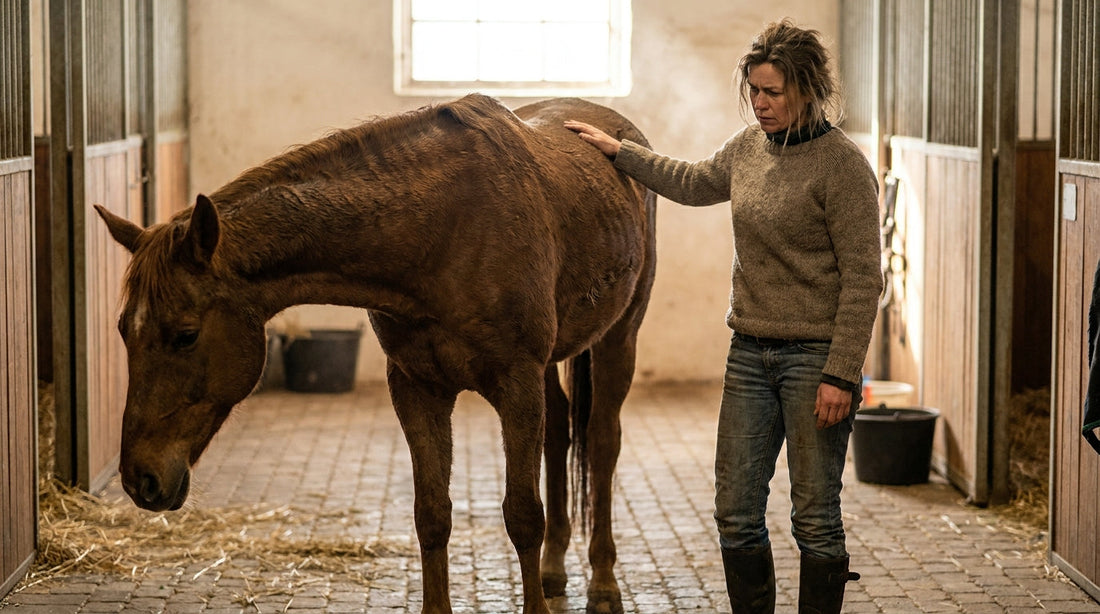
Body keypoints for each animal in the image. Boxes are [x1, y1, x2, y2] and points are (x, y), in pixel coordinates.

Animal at [95, 94, 656, 614]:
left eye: (185, 334)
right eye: (123, 330)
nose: (140, 480)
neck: (443, 227)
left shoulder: (516, 383)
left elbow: (522, 515)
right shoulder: (417, 386)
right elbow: (432, 513)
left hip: (618, 339)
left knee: (602, 444)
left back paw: (603, 584)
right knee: (560, 432)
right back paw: (556, 570)